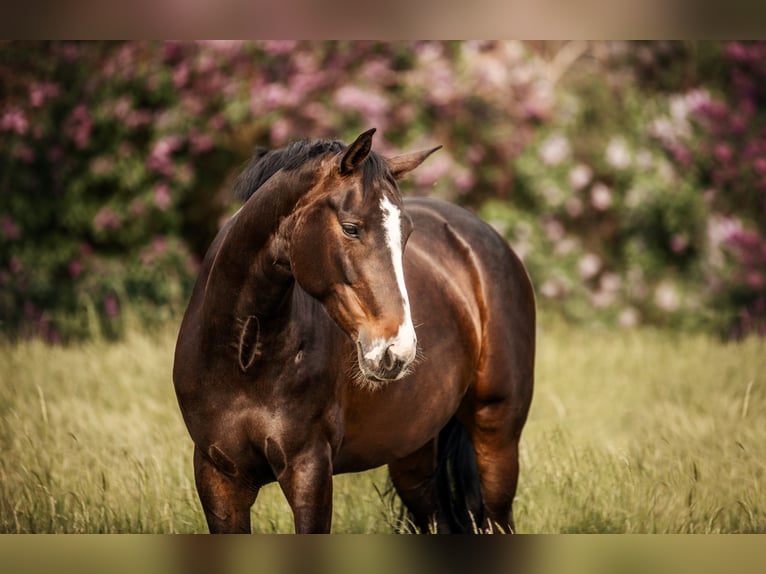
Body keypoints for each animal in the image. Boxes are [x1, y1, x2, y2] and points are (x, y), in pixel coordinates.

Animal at [173, 130, 536, 536]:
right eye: (350, 228)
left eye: (406, 233)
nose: (398, 350)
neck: (244, 357)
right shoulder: (218, 476)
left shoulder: (309, 470)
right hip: (413, 455)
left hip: (497, 437)